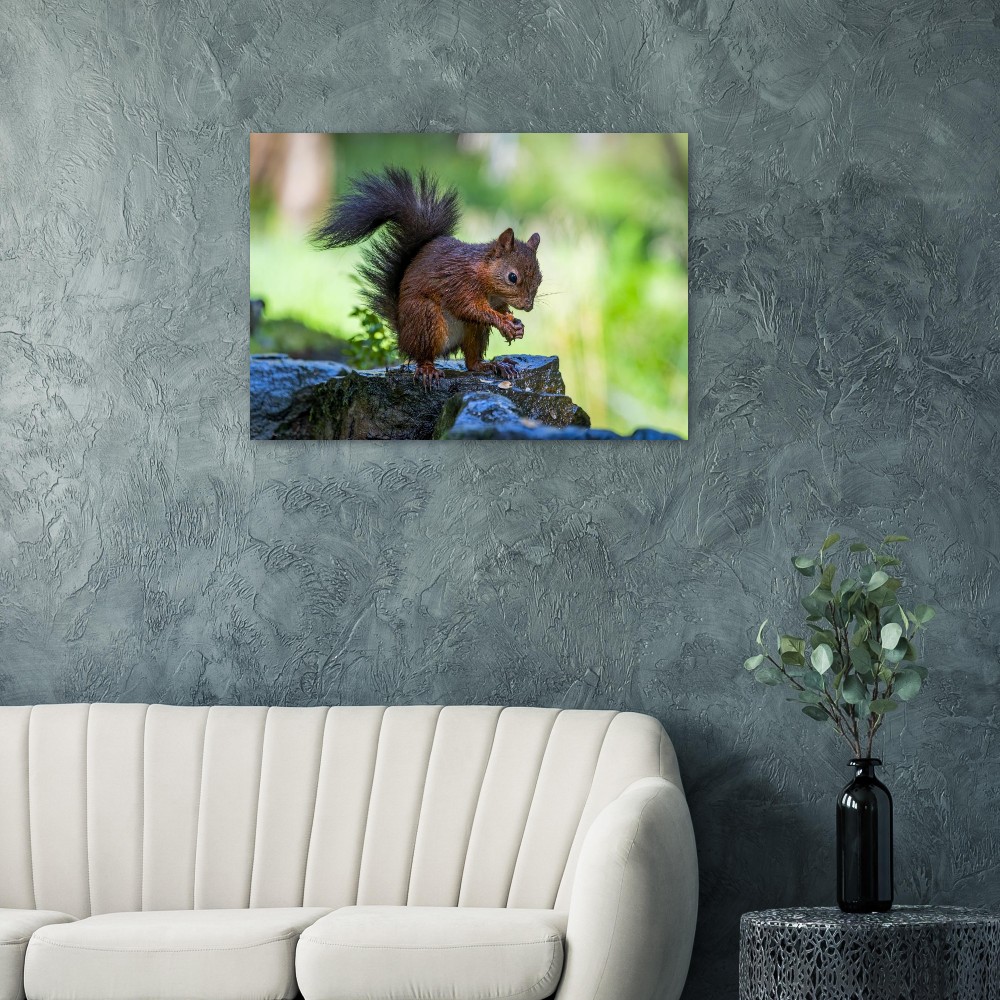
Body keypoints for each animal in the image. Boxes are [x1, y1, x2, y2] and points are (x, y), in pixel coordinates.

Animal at [312, 167, 541, 384]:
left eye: (540, 278)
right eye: (512, 277)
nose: (528, 306)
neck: (484, 276)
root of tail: (403, 336)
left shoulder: (496, 300)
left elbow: (499, 309)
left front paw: (516, 325)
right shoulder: (461, 283)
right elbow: (470, 308)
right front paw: (504, 323)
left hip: (474, 331)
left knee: (471, 362)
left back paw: (492, 365)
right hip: (425, 318)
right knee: (423, 355)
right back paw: (428, 369)